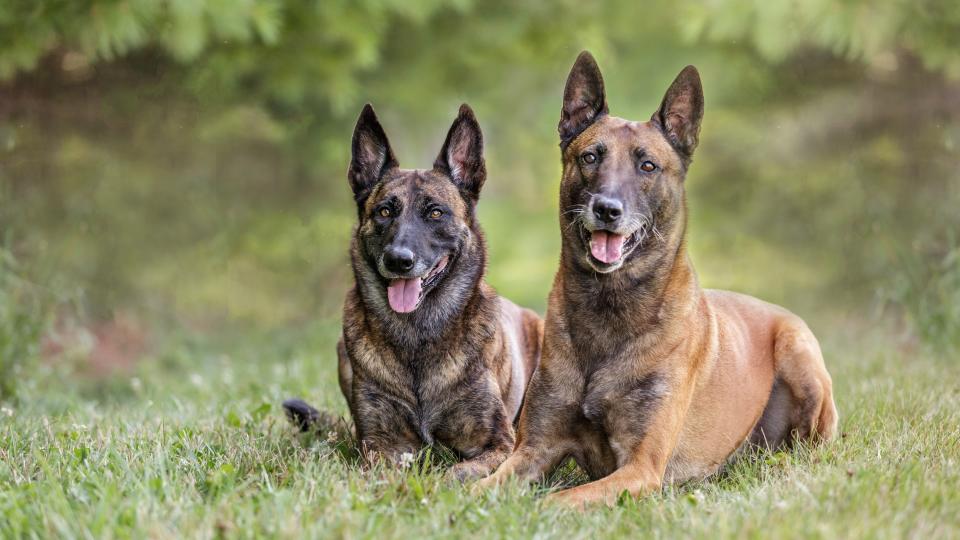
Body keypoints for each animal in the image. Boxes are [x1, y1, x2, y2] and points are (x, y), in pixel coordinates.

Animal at [284, 103, 540, 478]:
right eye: (384, 211)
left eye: (435, 213)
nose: (398, 260)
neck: (416, 335)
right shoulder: (379, 447)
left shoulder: (499, 445)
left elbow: (454, 474)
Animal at [484, 51, 836, 506]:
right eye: (590, 157)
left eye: (648, 165)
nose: (607, 209)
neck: (608, 307)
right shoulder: (532, 450)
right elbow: (476, 488)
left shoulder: (641, 469)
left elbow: (555, 501)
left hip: (800, 357)